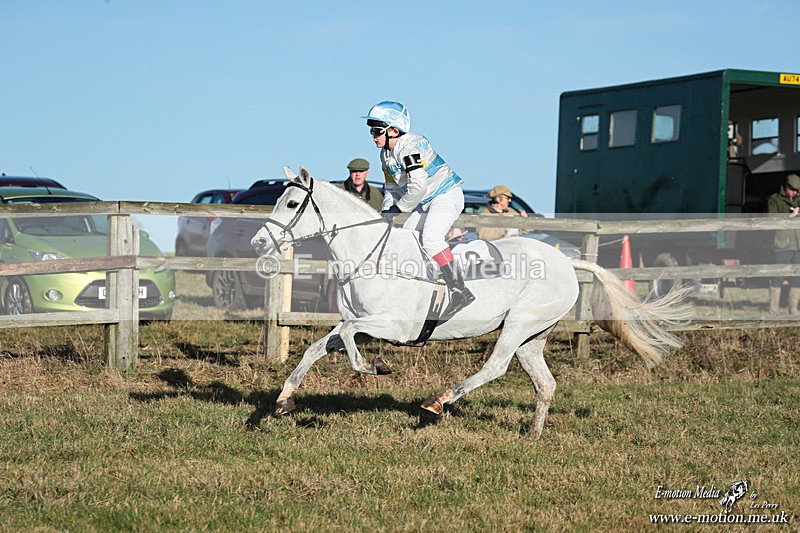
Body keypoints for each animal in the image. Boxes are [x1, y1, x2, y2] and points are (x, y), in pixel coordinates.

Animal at [251, 167, 692, 437]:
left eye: (292, 204)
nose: (258, 242)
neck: (370, 255)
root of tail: (567, 261)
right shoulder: (361, 322)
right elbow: (317, 346)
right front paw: (283, 401)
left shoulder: (393, 326)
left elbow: (347, 337)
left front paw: (375, 367)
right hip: (533, 336)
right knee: (545, 383)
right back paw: (533, 434)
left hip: (518, 325)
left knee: (495, 367)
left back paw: (438, 402)